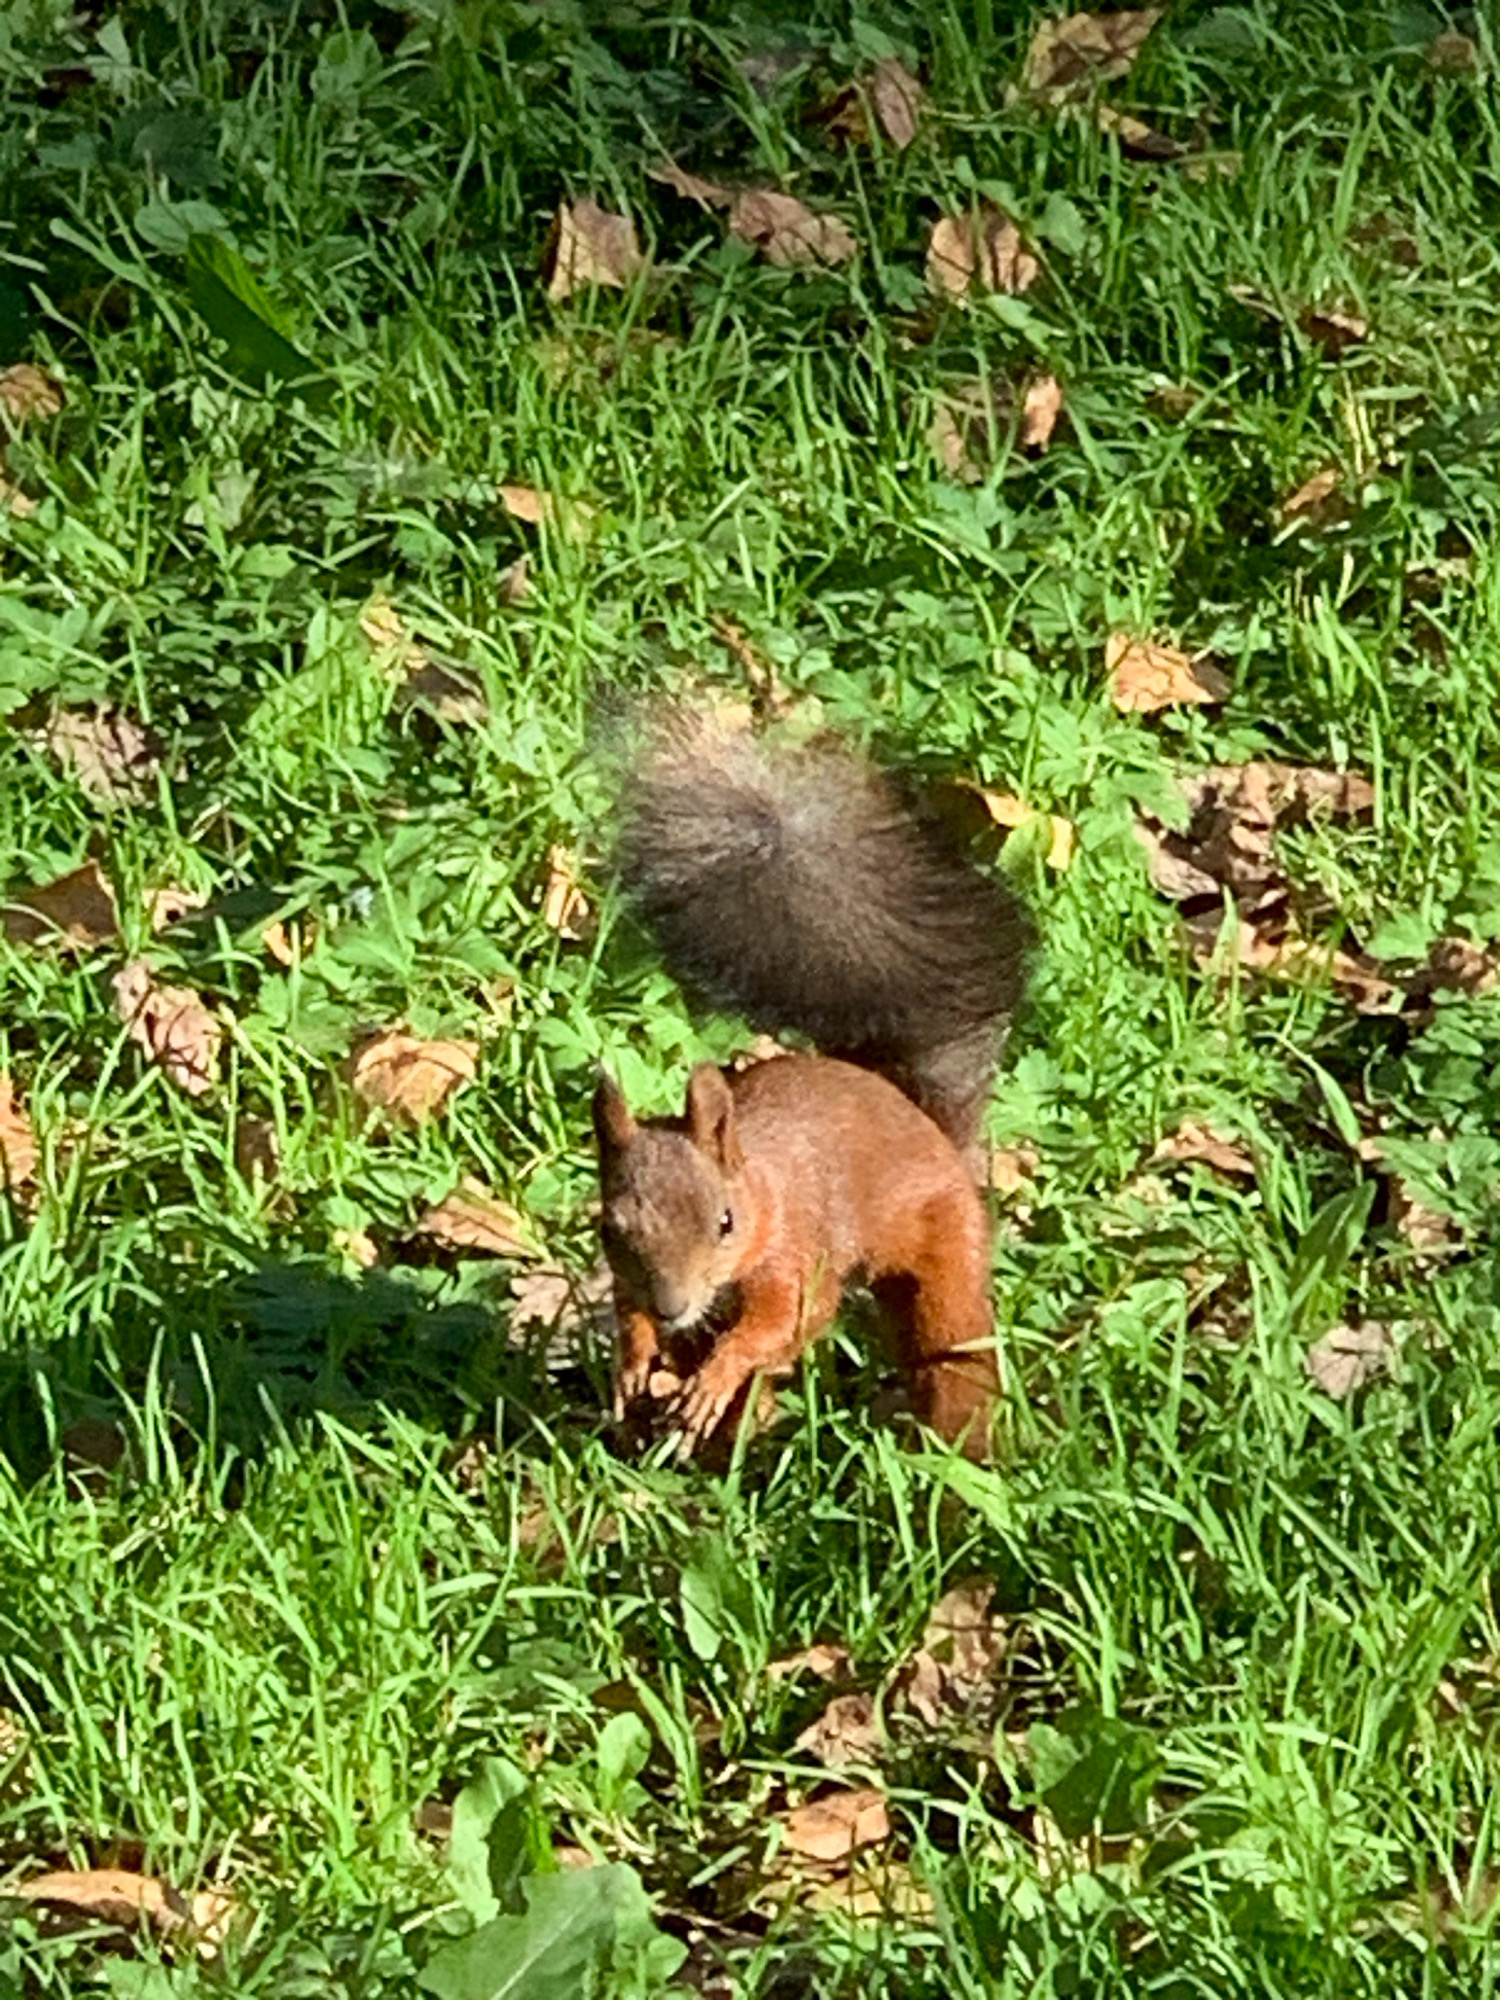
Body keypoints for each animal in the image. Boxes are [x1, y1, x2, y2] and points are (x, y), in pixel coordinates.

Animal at [593, 713, 1033, 1459]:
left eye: (725, 1221)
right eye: (611, 1227)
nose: (673, 1307)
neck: (760, 1188)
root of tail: (929, 1124)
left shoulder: (797, 1251)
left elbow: (783, 1319)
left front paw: (719, 1373)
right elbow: (631, 1312)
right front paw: (634, 1358)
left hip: (943, 1244)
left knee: (948, 1338)